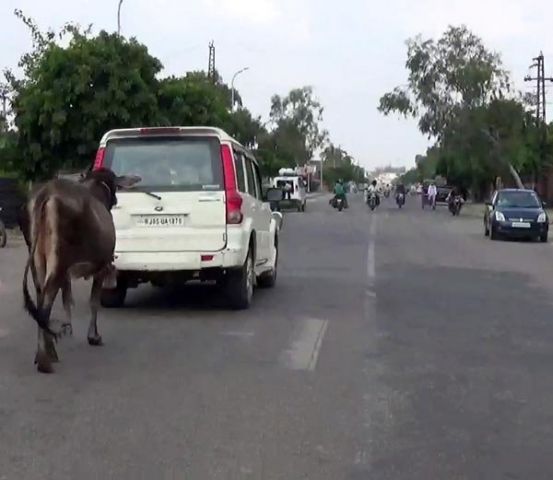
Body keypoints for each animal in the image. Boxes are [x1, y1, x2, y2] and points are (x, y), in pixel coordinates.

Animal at [22, 167, 140, 374]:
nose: (115, 201)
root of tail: (46, 192)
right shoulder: (102, 267)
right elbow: (94, 302)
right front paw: (93, 336)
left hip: (38, 260)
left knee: (40, 298)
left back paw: (44, 353)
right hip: (59, 260)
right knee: (46, 302)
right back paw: (45, 360)